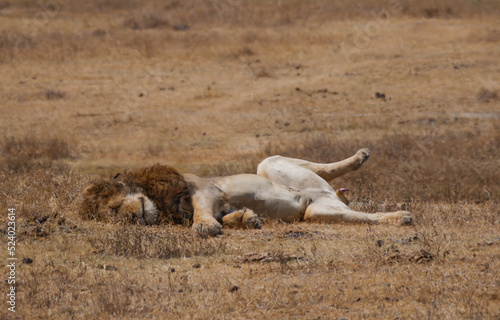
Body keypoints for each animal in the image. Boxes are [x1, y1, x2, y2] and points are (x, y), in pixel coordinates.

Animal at [80, 149, 412, 236]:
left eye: (113, 208)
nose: (130, 219)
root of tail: (328, 195)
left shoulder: (203, 188)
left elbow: (201, 212)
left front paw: (204, 226)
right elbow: (230, 217)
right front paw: (247, 220)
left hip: (271, 163)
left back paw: (361, 157)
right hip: (319, 211)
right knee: (362, 215)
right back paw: (394, 216)